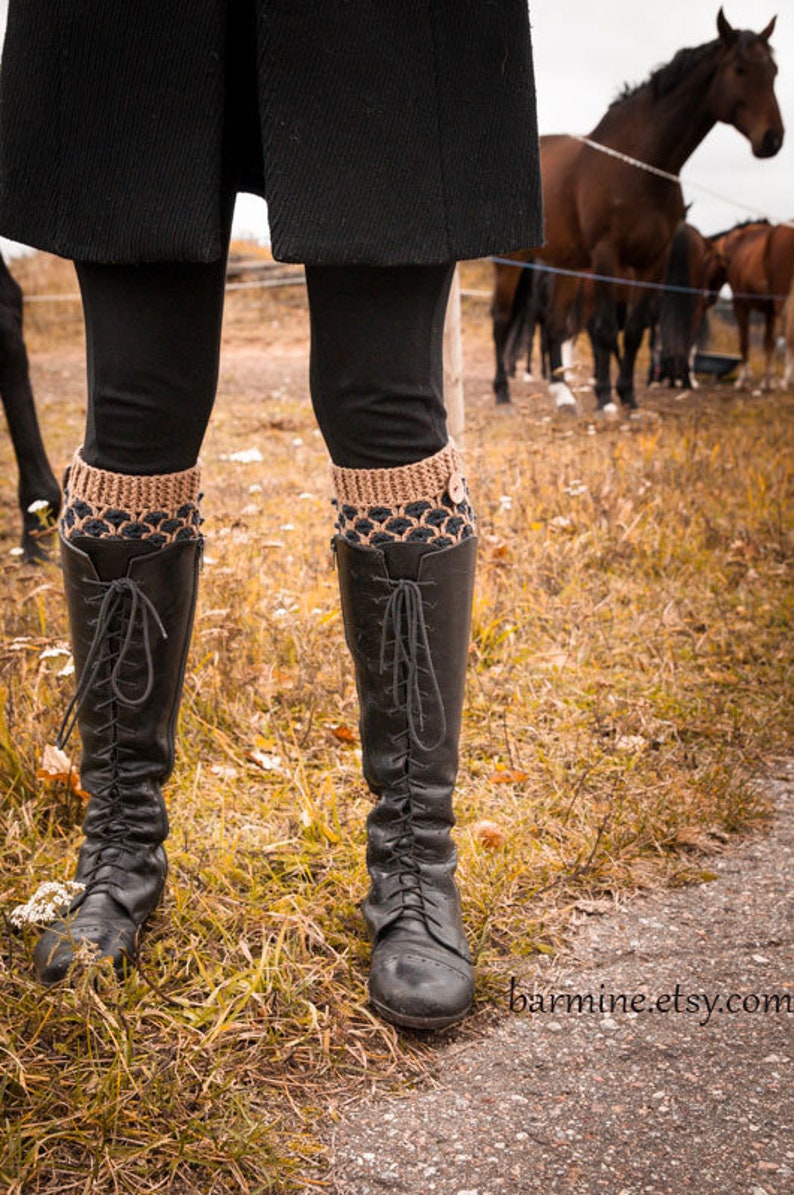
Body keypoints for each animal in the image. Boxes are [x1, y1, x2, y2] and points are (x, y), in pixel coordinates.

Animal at [492, 8, 784, 411]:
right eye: (739, 69)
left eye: (773, 71)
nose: (773, 139)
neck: (640, 165)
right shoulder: (607, 256)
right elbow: (604, 330)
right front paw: (605, 397)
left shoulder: (653, 262)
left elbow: (633, 331)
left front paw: (628, 396)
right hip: (513, 262)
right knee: (502, 320)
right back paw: (502, 390)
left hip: (568, 266)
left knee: (553, 324)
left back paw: (562, 392)